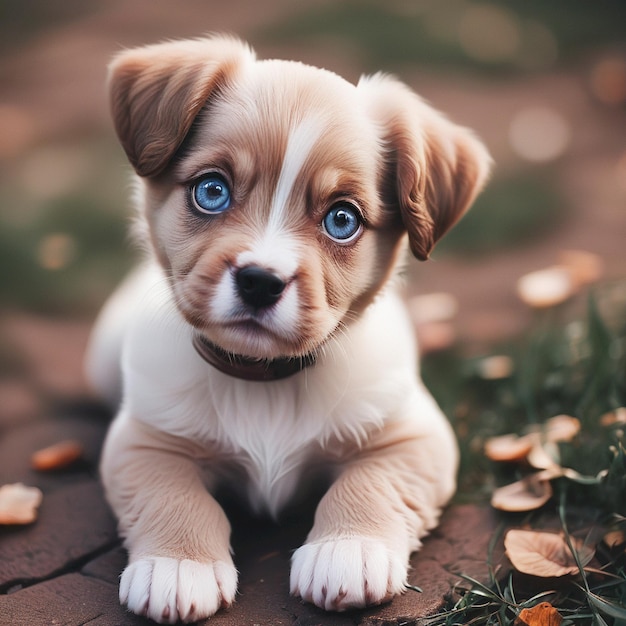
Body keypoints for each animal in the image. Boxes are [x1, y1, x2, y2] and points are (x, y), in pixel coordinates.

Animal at [86, 35, 488, 624]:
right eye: (212, 191)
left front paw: (348, 551)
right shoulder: (145, 440)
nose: (260, 281)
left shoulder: (415, 436)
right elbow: (172, 495)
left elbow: (372, 484)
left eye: (342, 220)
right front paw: (178, 565)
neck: (263, 383)